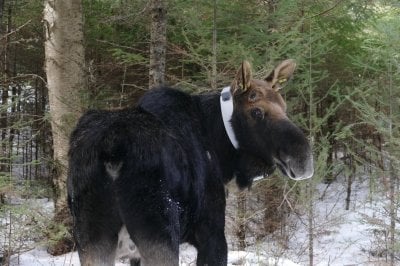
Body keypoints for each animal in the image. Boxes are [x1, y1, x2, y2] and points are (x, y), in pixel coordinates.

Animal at [68, 59, 312, 264]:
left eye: (284, 107)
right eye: (257, 111)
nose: (305, 157)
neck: (219, 147)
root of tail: (112, 149)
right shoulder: (212, 234)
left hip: (92, 238)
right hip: (160, 233)